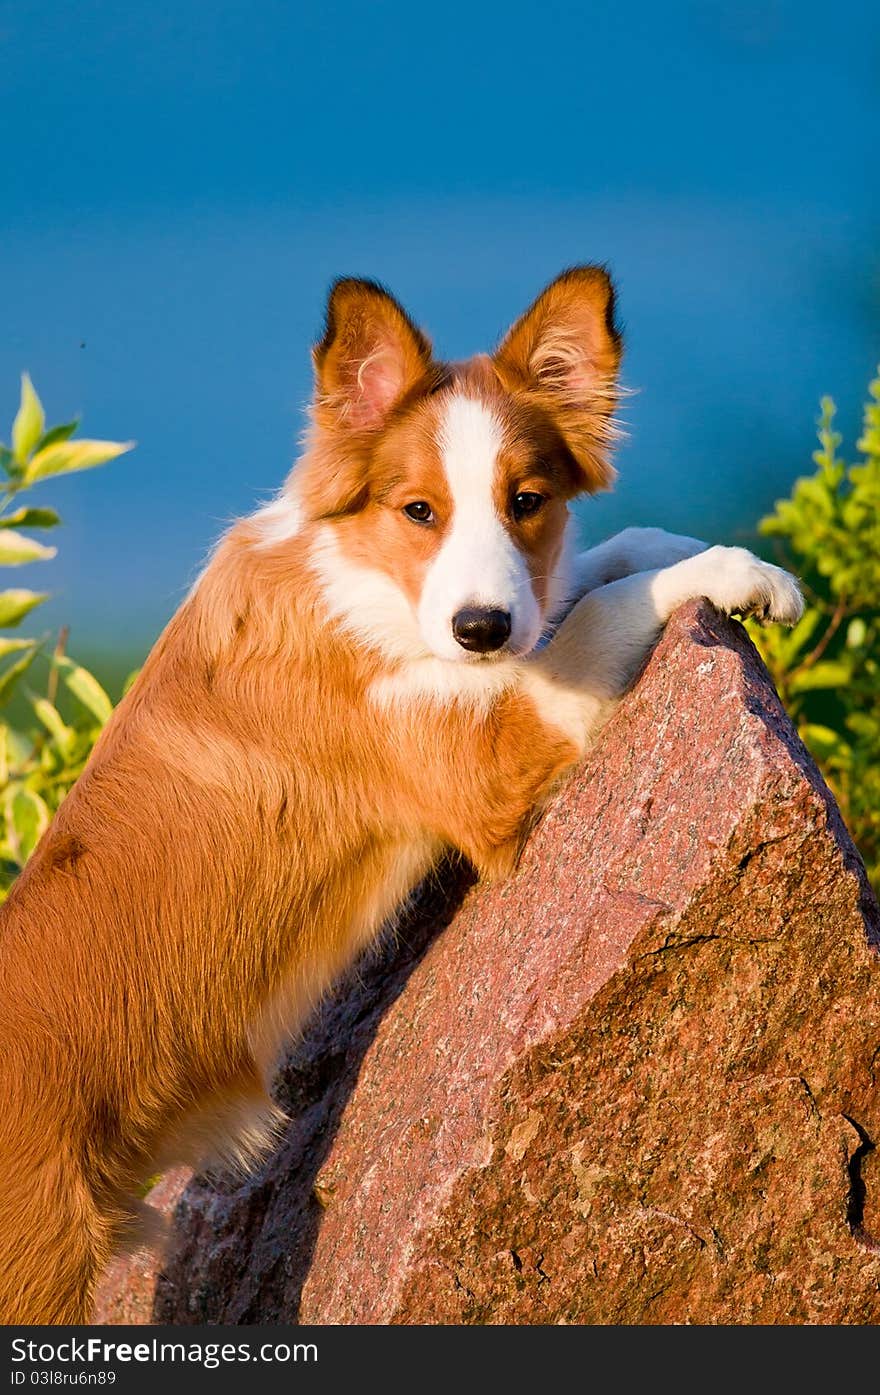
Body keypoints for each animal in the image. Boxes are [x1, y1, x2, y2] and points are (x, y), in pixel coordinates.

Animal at [0, 266, 803, 1322]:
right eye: (419, 510)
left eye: (527, 501)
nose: (480, 627)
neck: (366, 584)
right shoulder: (481, 762)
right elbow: (603, 608)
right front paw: (733, 569)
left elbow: (595, 568)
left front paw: (687, 545)